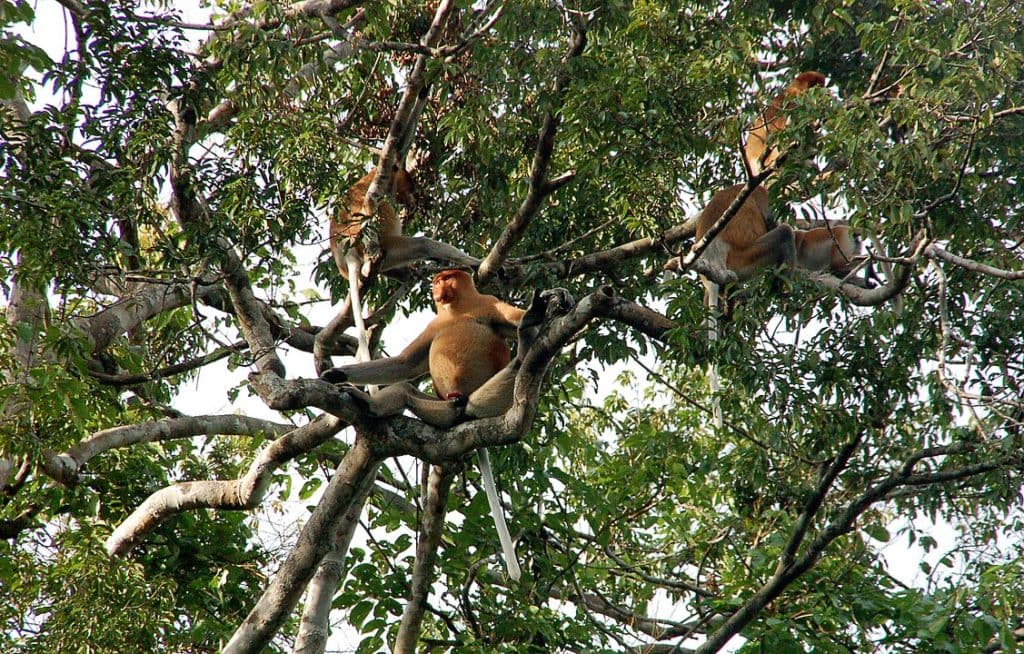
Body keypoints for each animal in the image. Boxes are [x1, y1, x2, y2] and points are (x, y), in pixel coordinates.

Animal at [322, 269, 574, 581]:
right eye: (439, 279)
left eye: (448, 277)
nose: (439, 286)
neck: (458, 310)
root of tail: (462, 409)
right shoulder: (435, 324)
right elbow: (404, 364)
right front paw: (336, 374)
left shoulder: (489, 303)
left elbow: (510, 318)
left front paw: (555, 298)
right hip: (439, 410)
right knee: (405, 390)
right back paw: (370, 404)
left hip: (488, 401)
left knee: (517, 364)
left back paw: (527, 334)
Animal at [331, 165, 481, 363]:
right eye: (410, 185)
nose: (413, 197)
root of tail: (345, 250)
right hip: (388, 244)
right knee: (423, 244)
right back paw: (475, 263)